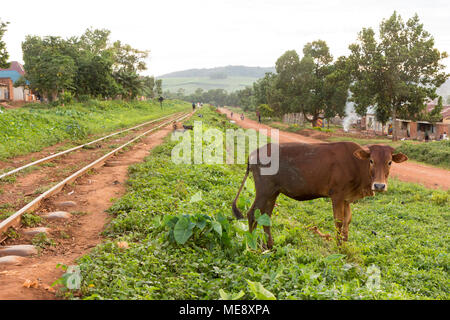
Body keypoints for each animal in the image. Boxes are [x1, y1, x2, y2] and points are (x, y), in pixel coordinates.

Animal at [232, 141, 408, 249]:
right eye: (371, 161)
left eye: (389, 162)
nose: (379, 185)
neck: (358, 166)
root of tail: (254, 153)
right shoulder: (337, 195)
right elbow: (338, 222)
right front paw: (338, 249)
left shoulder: (346, 199)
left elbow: (347, 223)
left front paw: (345, 247)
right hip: (264, 191)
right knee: (251, 214)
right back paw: (253, 246)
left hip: (273, 192)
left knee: (265, 216)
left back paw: (269, 245)